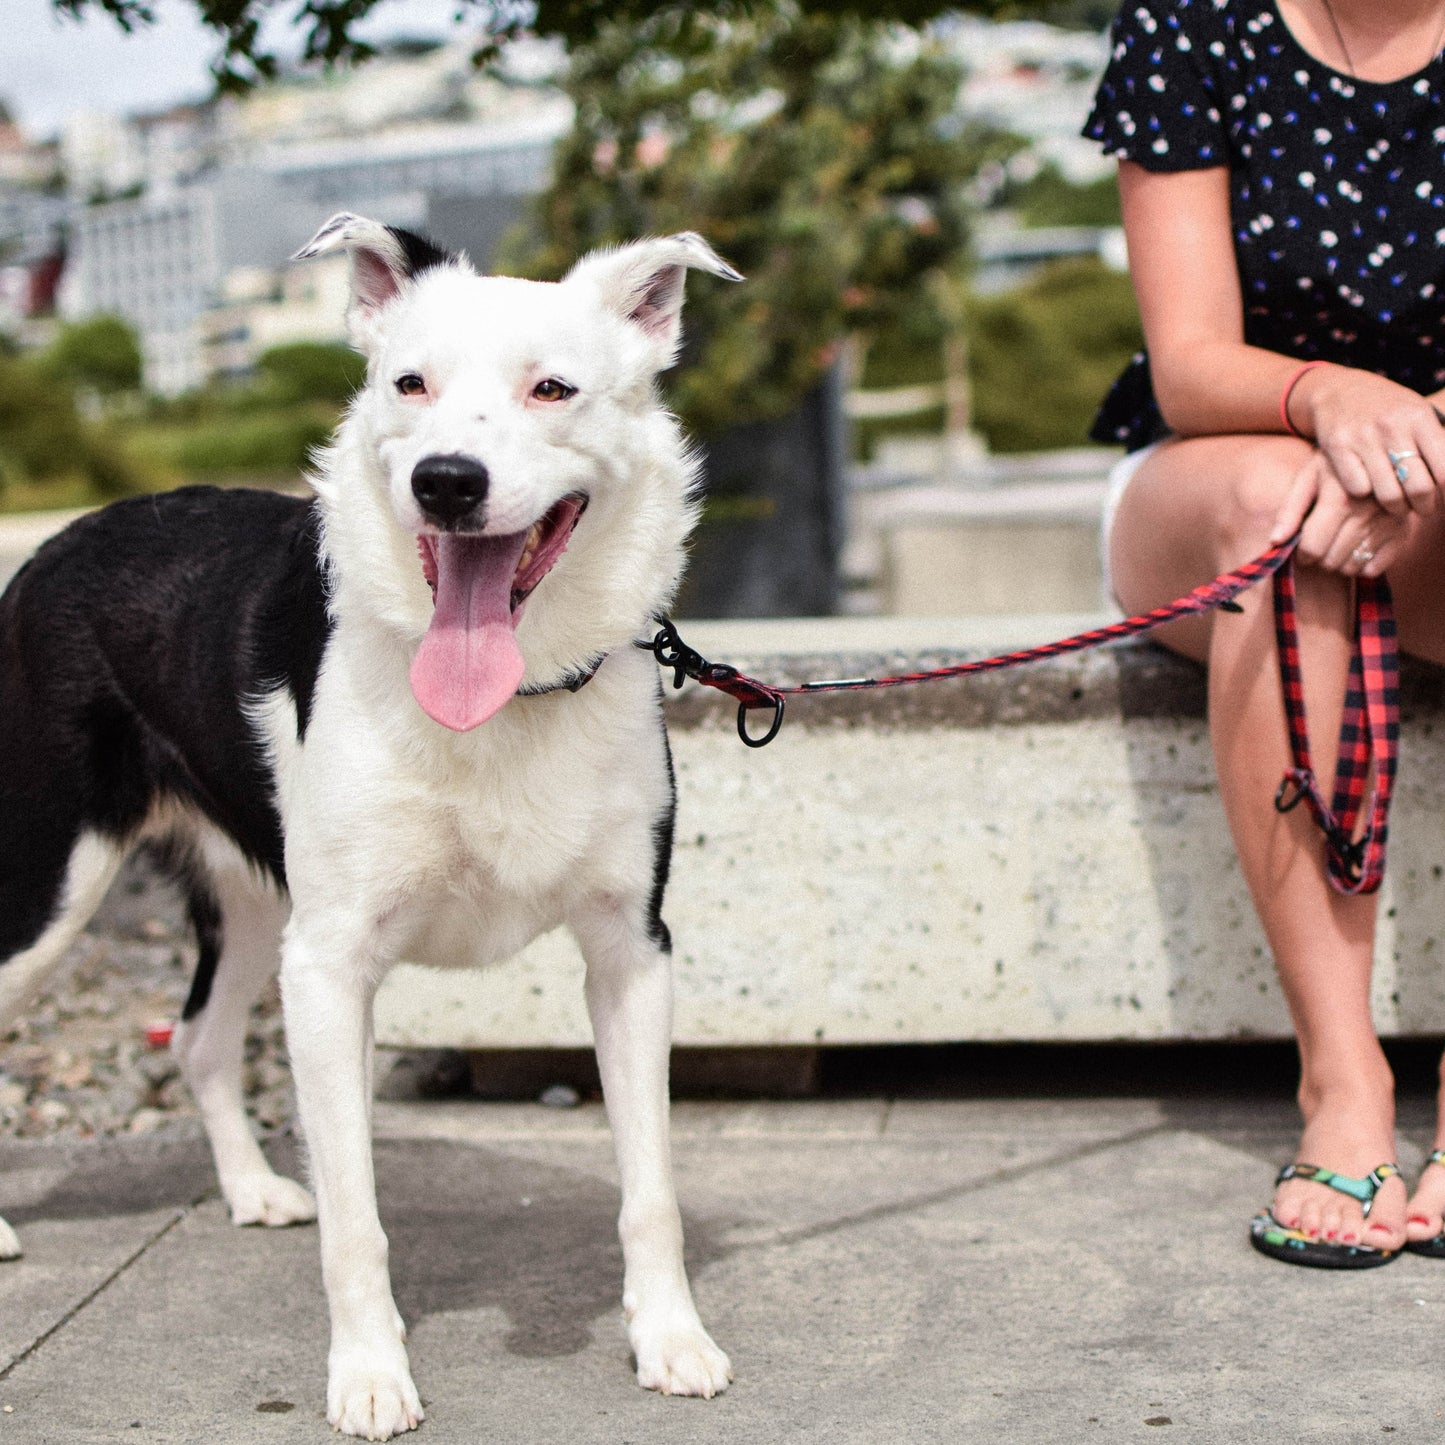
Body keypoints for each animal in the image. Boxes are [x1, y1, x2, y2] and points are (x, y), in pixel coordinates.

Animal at [0, 210, 739, 1433]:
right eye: (409, 382)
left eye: (551, 387)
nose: (446, 481)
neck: (506, 697)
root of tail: (58, 542)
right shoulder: (331, 963)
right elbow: (357, 1216)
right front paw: (368, 1374)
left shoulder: (632, 950)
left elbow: (652, 1189)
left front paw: (670, 1337)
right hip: (53, 884)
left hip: (255, 901)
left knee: (200, 1039)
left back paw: (252, 1187)